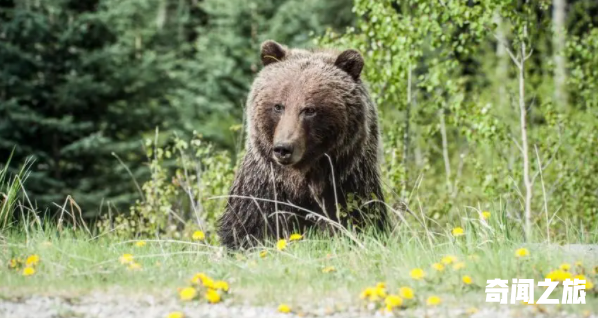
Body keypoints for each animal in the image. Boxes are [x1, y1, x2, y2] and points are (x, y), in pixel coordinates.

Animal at [218, 40, 386, 248]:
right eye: (278, 106)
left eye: (309, 110)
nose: (283, 148)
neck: (302, 179)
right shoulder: (263, 190)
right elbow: (247, 229)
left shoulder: (348, 185)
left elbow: (358, 220)